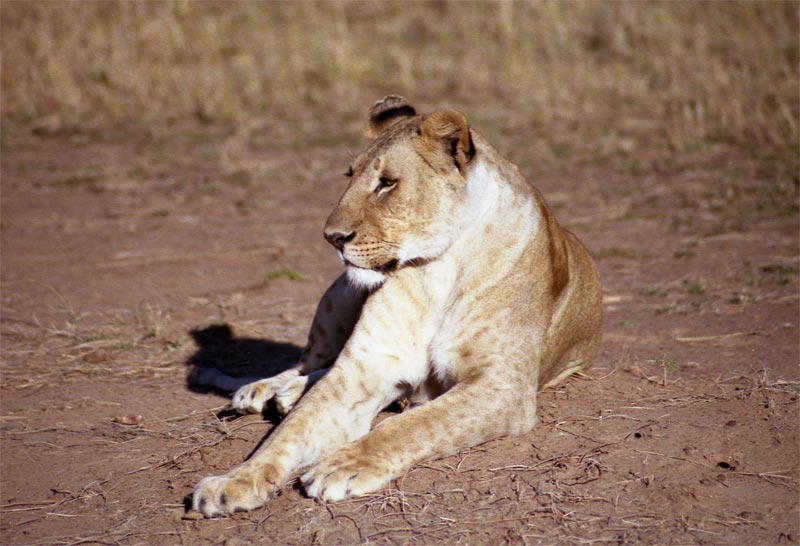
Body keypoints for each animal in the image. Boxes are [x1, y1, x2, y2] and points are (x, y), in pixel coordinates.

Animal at [191, 95, 602, 517]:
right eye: (349, 175)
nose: (331, 237)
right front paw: (235, 481)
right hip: (338, 297)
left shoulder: (503, 386)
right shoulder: (362, 371)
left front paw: (342, 466)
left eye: (387, 183)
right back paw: (266, 390)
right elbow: (290, 432)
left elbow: (415, 424)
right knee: (309, 362)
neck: (438, 268)